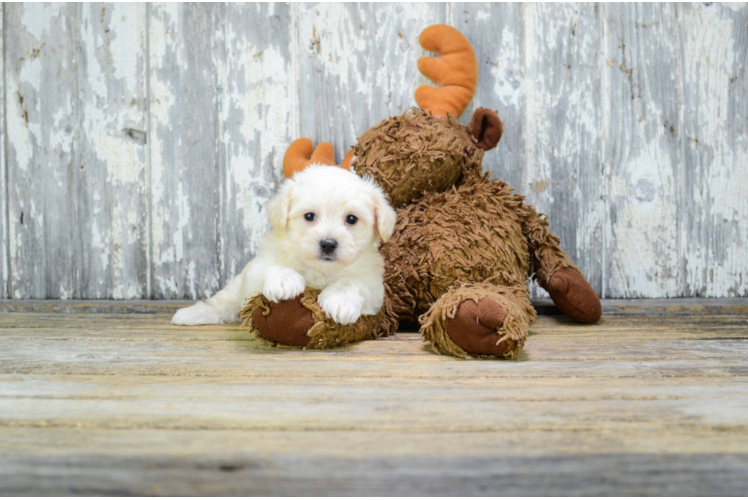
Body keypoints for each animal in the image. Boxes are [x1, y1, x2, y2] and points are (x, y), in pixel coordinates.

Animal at [170, 166, 398, 326]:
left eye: (351, 219)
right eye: (309, 216)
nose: (328, 244)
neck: (320, 270)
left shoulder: (374, 291)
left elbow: (353, 283)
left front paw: (339, 300)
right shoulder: (256, 271)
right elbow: (271, 268)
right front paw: (284, 281)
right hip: (235, 288)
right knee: (224, 302)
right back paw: (190, 314)